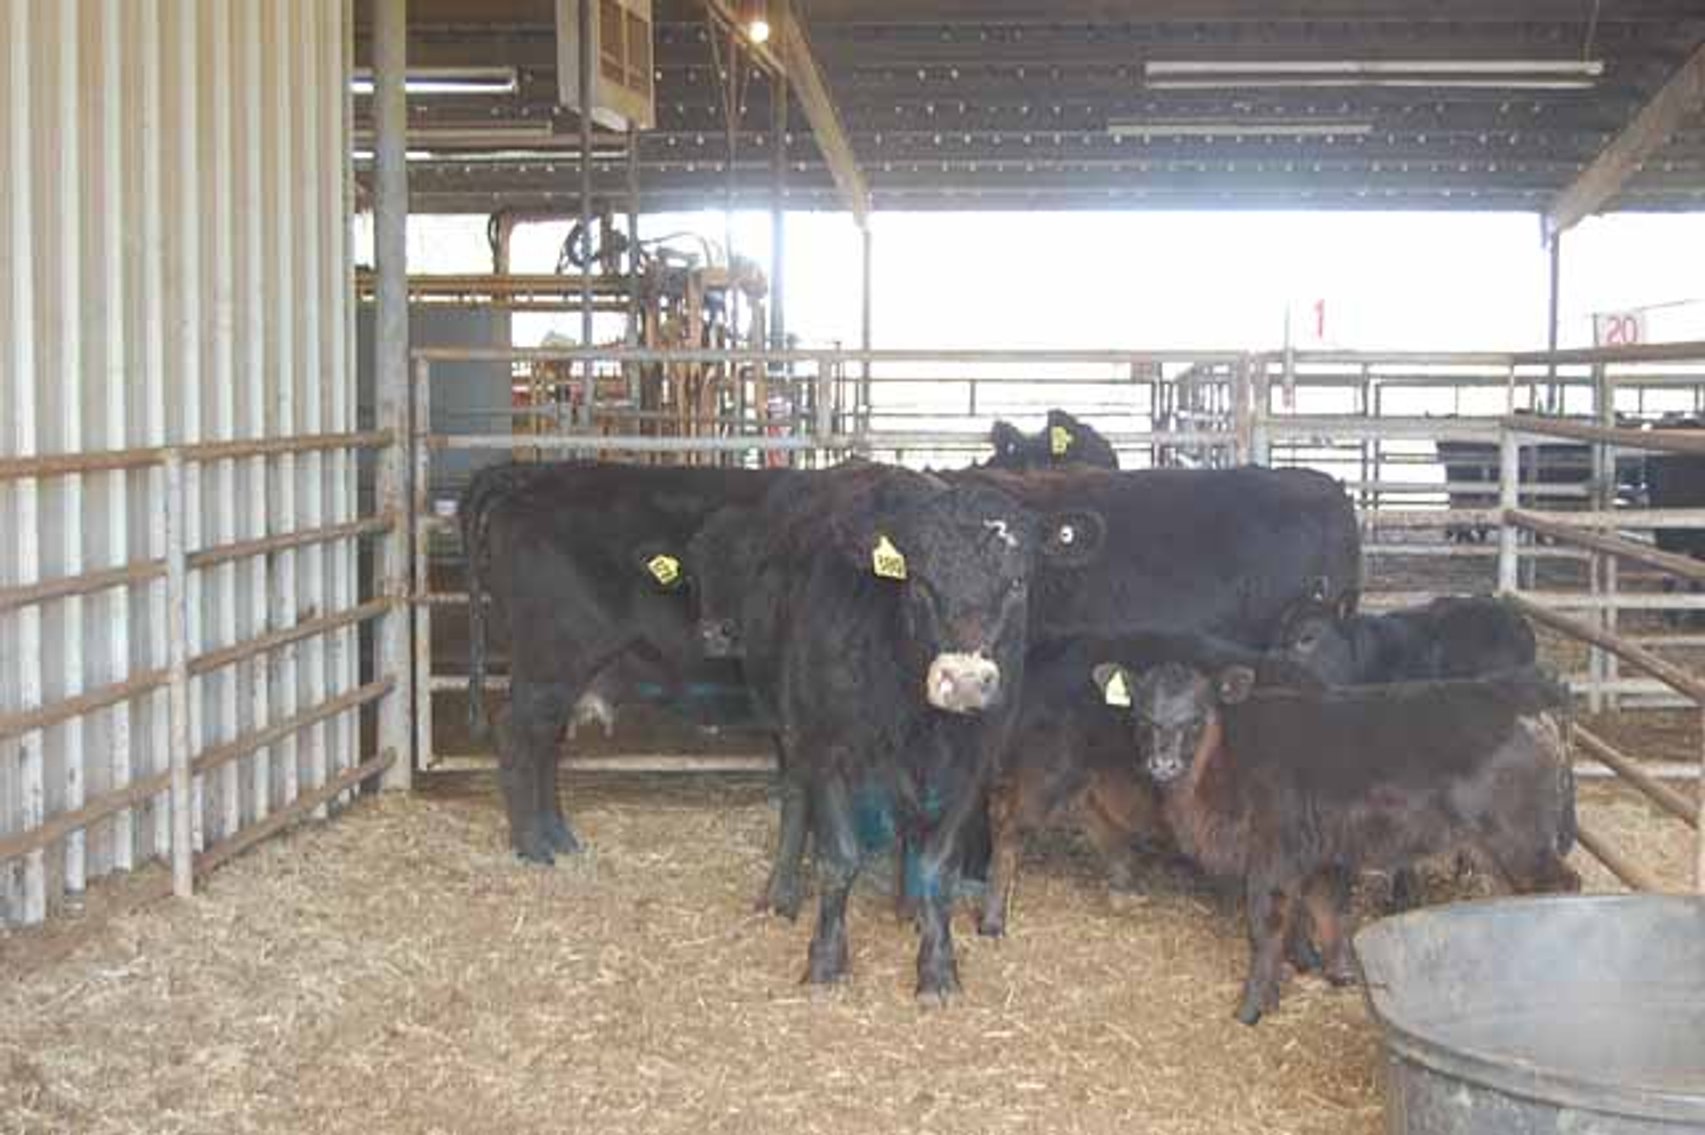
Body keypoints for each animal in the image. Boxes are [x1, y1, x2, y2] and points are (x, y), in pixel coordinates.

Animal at [460, 461, 784, 864]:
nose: (719, 632)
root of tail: (534, 473)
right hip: (553, 663)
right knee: (517, 732)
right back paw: (534, 847)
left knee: (546, 741)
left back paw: (559, 837)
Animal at [725, 462, 1047, 1000]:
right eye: (919, 582)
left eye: (1018, 583)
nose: (964, 681)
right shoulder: (827, 744)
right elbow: (840, 857)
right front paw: (825, 960)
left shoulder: (976, 760)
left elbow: (940, 862)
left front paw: (937, 966)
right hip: (782, 721)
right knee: (794, 796)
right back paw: (781, 893)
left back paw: (910, 908)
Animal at [1089, 657, 1580, 1024]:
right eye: (1142, 716)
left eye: (1197, 716)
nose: (1163, 764)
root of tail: (1523, 692)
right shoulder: (1314, 853)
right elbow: (1317, 913)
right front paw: (1317, 972)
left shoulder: (1274, 853)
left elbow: (1266, 927)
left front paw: (1251, 1008)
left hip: (1522, 840)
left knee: (1562, 888)